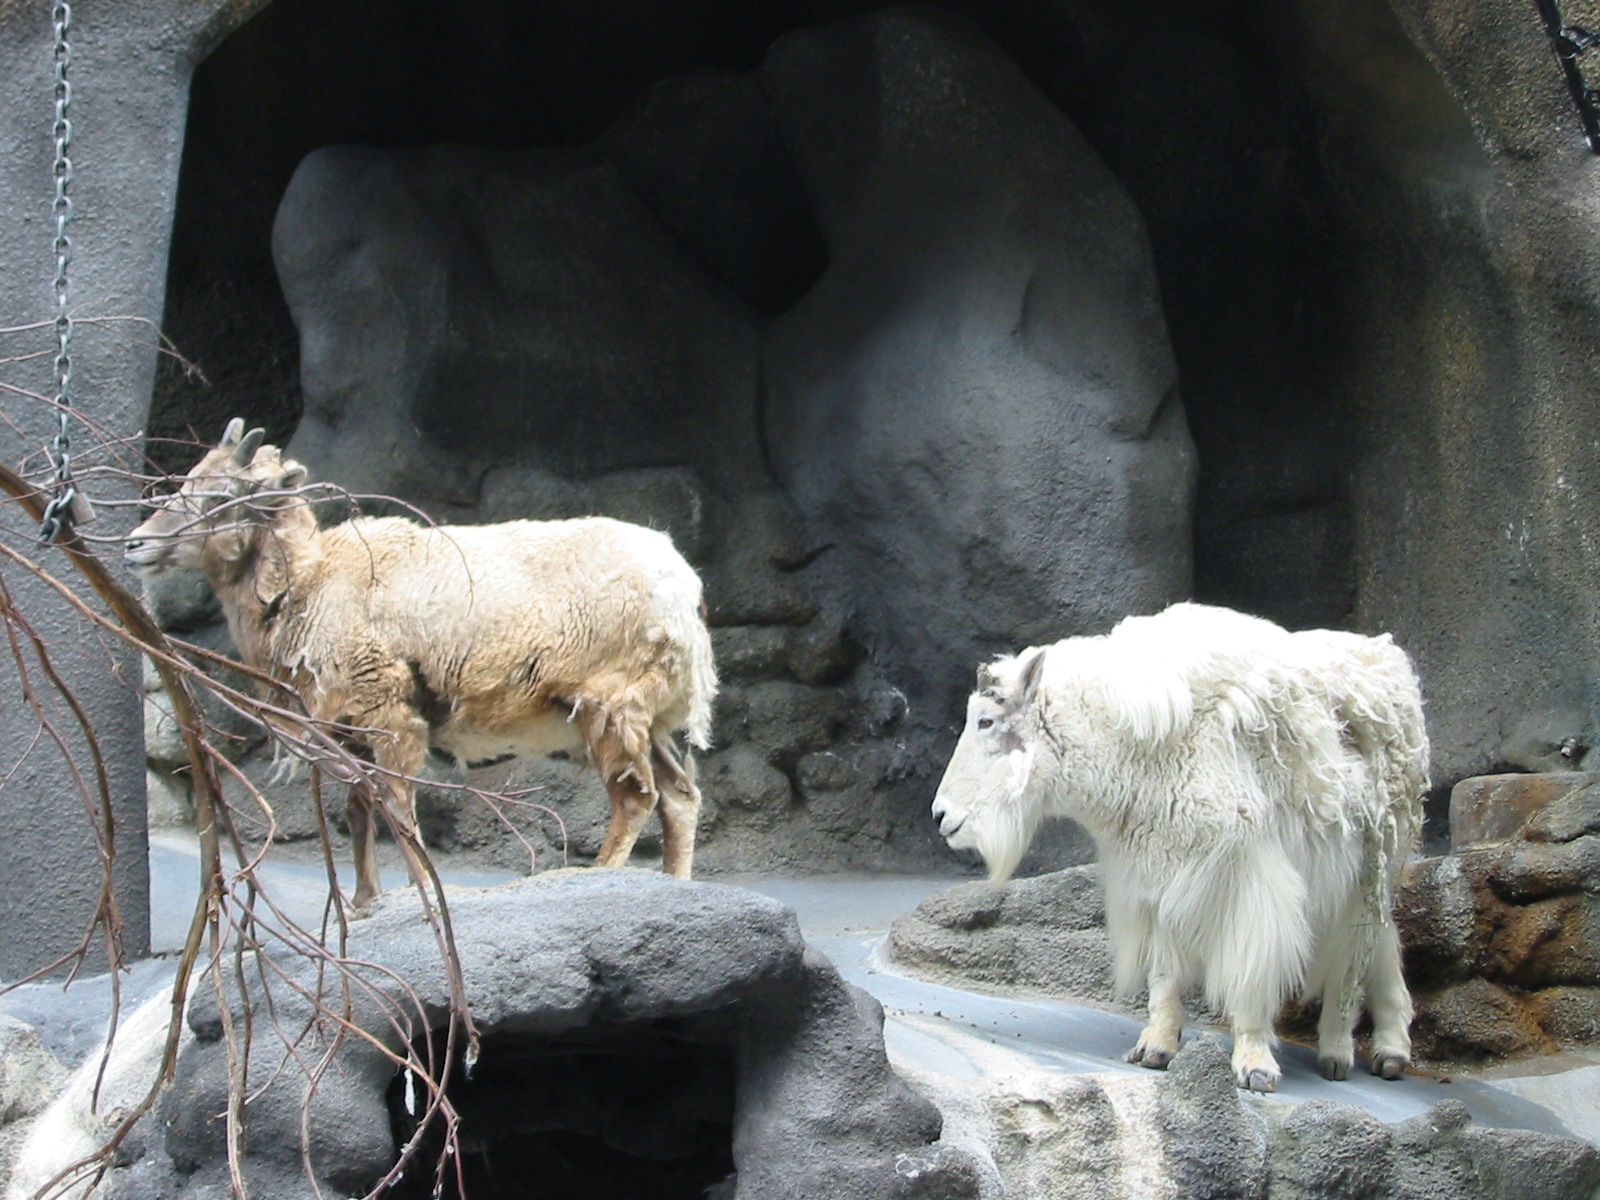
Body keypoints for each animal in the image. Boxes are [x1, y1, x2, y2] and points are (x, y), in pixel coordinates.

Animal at [126, 420, 717, 907]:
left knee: (637, 796)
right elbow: (359, 807)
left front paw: (421, 890)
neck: (313, 582)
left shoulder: (388, 709)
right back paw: (676, 883)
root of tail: (684, 591)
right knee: (679, 796)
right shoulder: (350, 729)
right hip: (648, 716)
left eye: (223, 495)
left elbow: (396, 804)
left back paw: (601, 875)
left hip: (610, 704)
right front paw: (364, 901)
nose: (135, 545)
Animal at [930, 602, 1427, 1092]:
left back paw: (1339, 1052)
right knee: (1382, 941)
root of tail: (1393, 663)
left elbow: (1250, 970)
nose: (940, 815)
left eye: (986, 721)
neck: (1133, 745)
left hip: (1375, 861)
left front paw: (1255, 1065)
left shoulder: (1245, 875)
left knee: (1354, 955)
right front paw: (1154, 1048)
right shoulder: (1163, 873)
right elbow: (1165, 972)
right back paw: (1390, 1049)